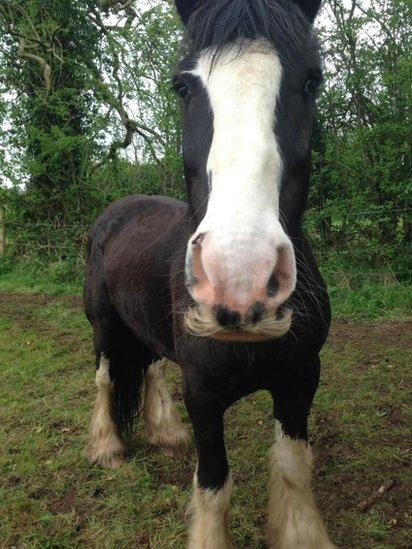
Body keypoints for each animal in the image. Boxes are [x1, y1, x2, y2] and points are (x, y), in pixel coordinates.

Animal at [83, 2, 334, 544]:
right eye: (182, 86)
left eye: (312, 81)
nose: (239, 279)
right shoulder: (202, 393)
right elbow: (214, 481)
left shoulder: (301, 378)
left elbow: (291, 467)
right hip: (103, 324)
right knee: (106, 377)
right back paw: (109, 447)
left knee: (151, 364)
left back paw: (166, 434)